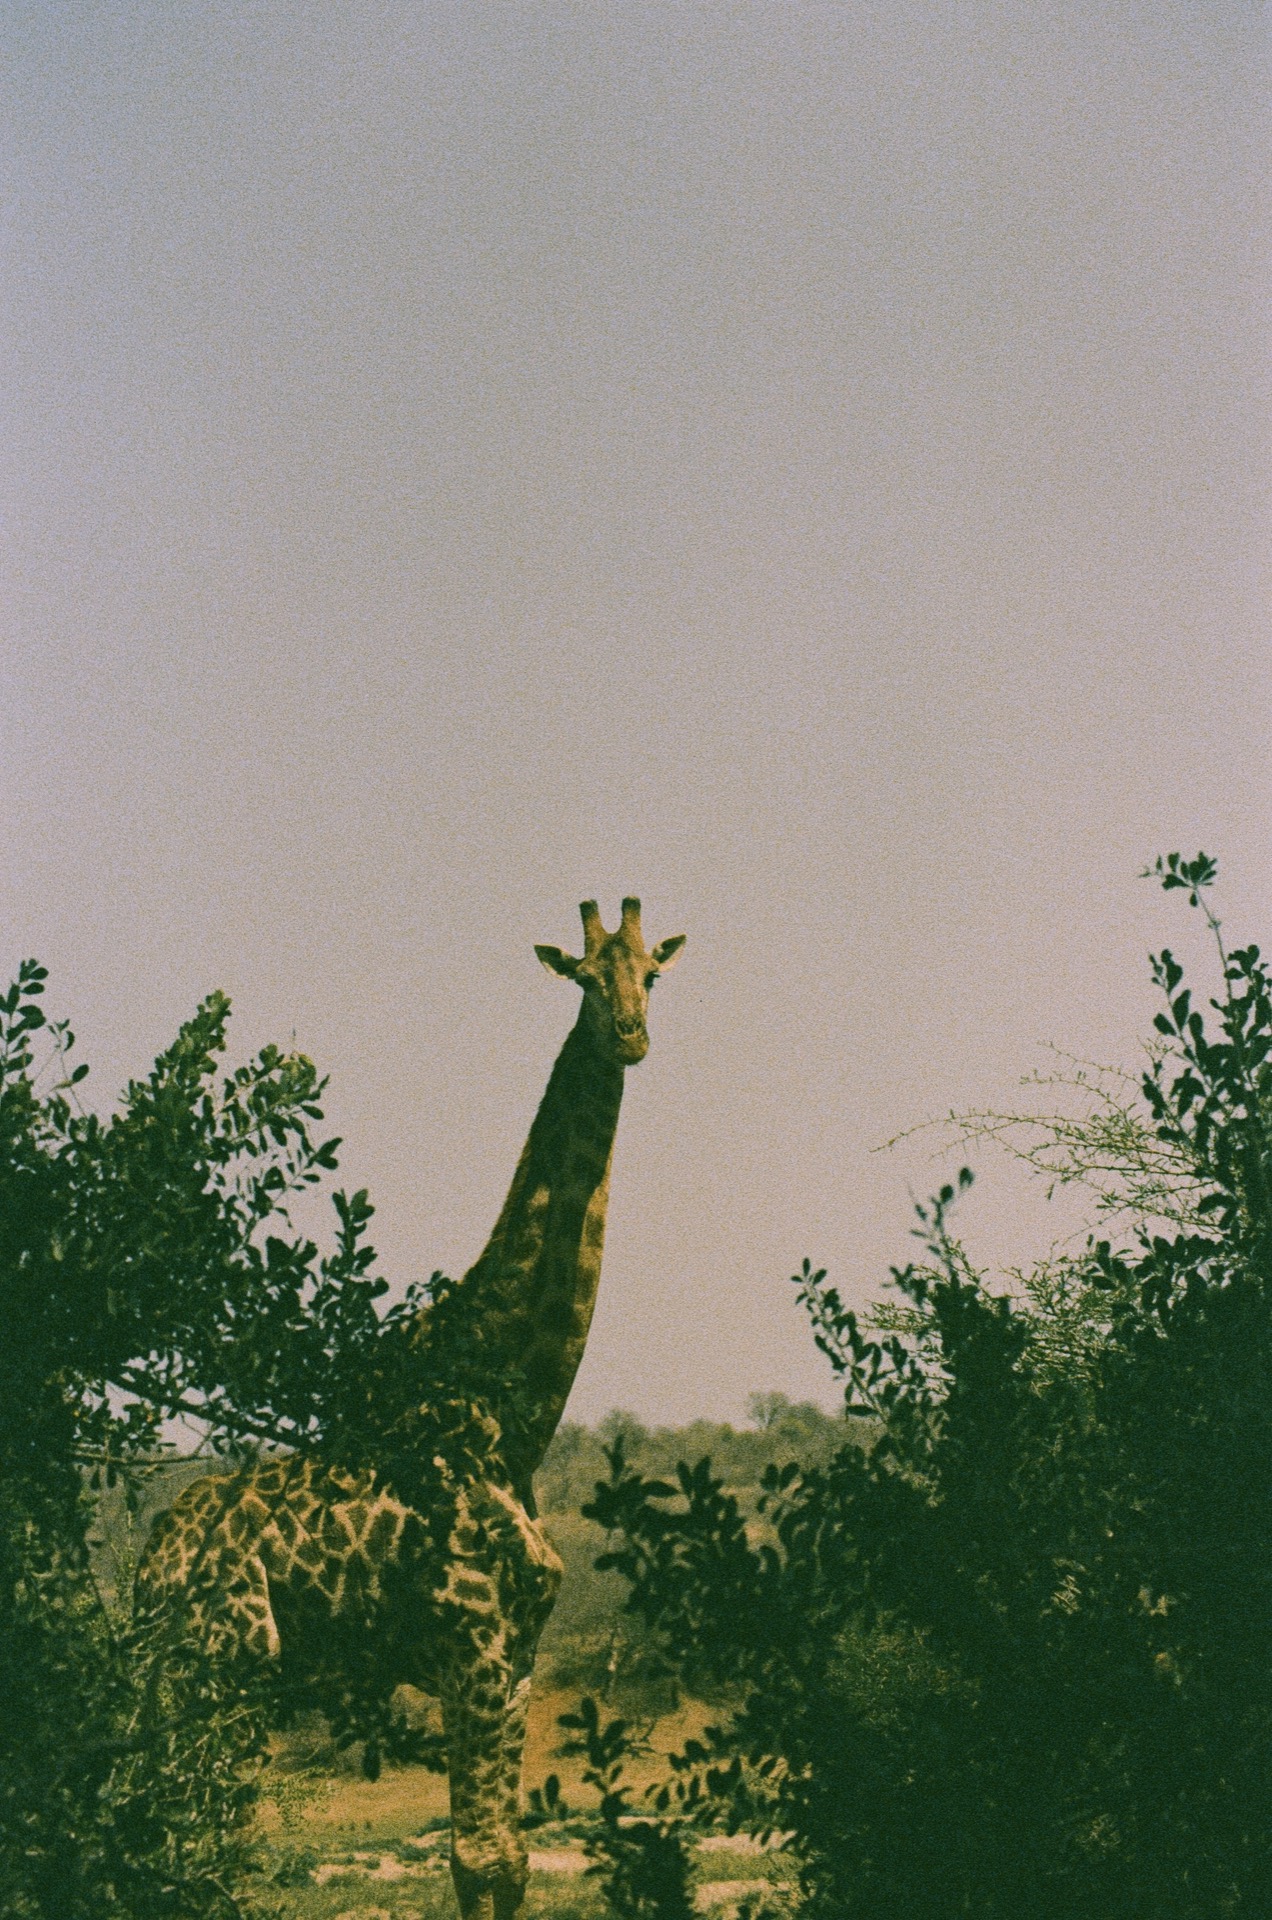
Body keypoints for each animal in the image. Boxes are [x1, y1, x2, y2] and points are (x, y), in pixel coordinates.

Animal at [136, 897, 685, 1920]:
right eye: (584, 979)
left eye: (653, 975)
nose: (632, 1035)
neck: (516, 1410)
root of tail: (149, 1567)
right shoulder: (469, 1644)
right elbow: (475, 1856)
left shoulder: (516, 1657)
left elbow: (507, 1862)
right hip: (219, 1670)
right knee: (184, 1838)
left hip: (211, 1683)